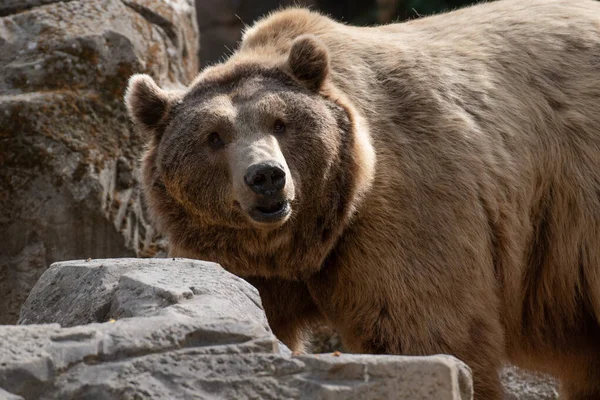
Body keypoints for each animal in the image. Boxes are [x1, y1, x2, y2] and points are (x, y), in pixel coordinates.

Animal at [124, 0, 600, 396]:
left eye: (280, 122)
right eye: (214, 137)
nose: (267, 177)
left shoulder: (407, 208)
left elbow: (421, 331)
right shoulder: (245, 264)